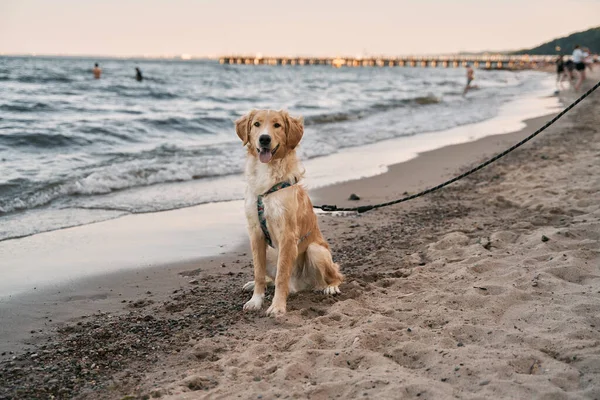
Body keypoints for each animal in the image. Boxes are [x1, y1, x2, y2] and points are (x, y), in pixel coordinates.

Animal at [237, 108, 344, 316]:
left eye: (277, 125)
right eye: (256, 124)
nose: (264, 139)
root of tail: (299, 286)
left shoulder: (287, 235)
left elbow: (281, 276)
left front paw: (277, 306)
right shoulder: (255, 233)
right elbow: (259, 271)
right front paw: (256, 299)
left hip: (316, 250)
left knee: (336, 274)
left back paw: (331, 286)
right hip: (271, 251)